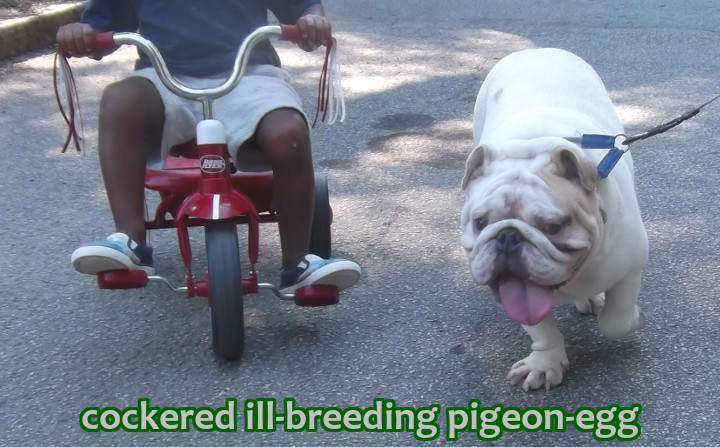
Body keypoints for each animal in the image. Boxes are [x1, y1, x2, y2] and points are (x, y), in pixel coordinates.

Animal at [460, 48, 648, 391]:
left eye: (553, 227)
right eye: (480, 222)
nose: (508, 236)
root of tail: (534, 50)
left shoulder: (630, 267)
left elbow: (616, 320)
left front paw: (630, 316)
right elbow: (542, 331)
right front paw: (545, 363)